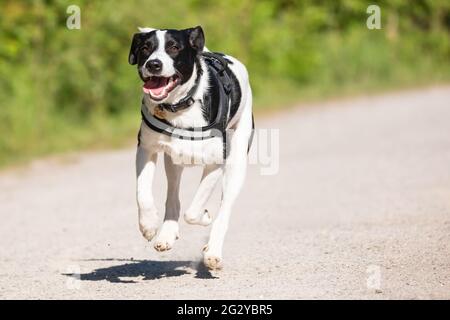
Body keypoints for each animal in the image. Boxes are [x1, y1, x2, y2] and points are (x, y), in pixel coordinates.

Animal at [128, 25, 253, 270]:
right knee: (173, 197)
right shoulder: (146, 148)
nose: (153, 64)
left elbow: (194, 211)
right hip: (173, 162)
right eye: (145, 48)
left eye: (174, 47)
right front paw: (148, 225)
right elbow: (142, 192)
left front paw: (205, 216)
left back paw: (213, 252)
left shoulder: (216, 162)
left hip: (237, 164)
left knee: (225, 209)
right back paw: (167, 234)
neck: (179, 108)